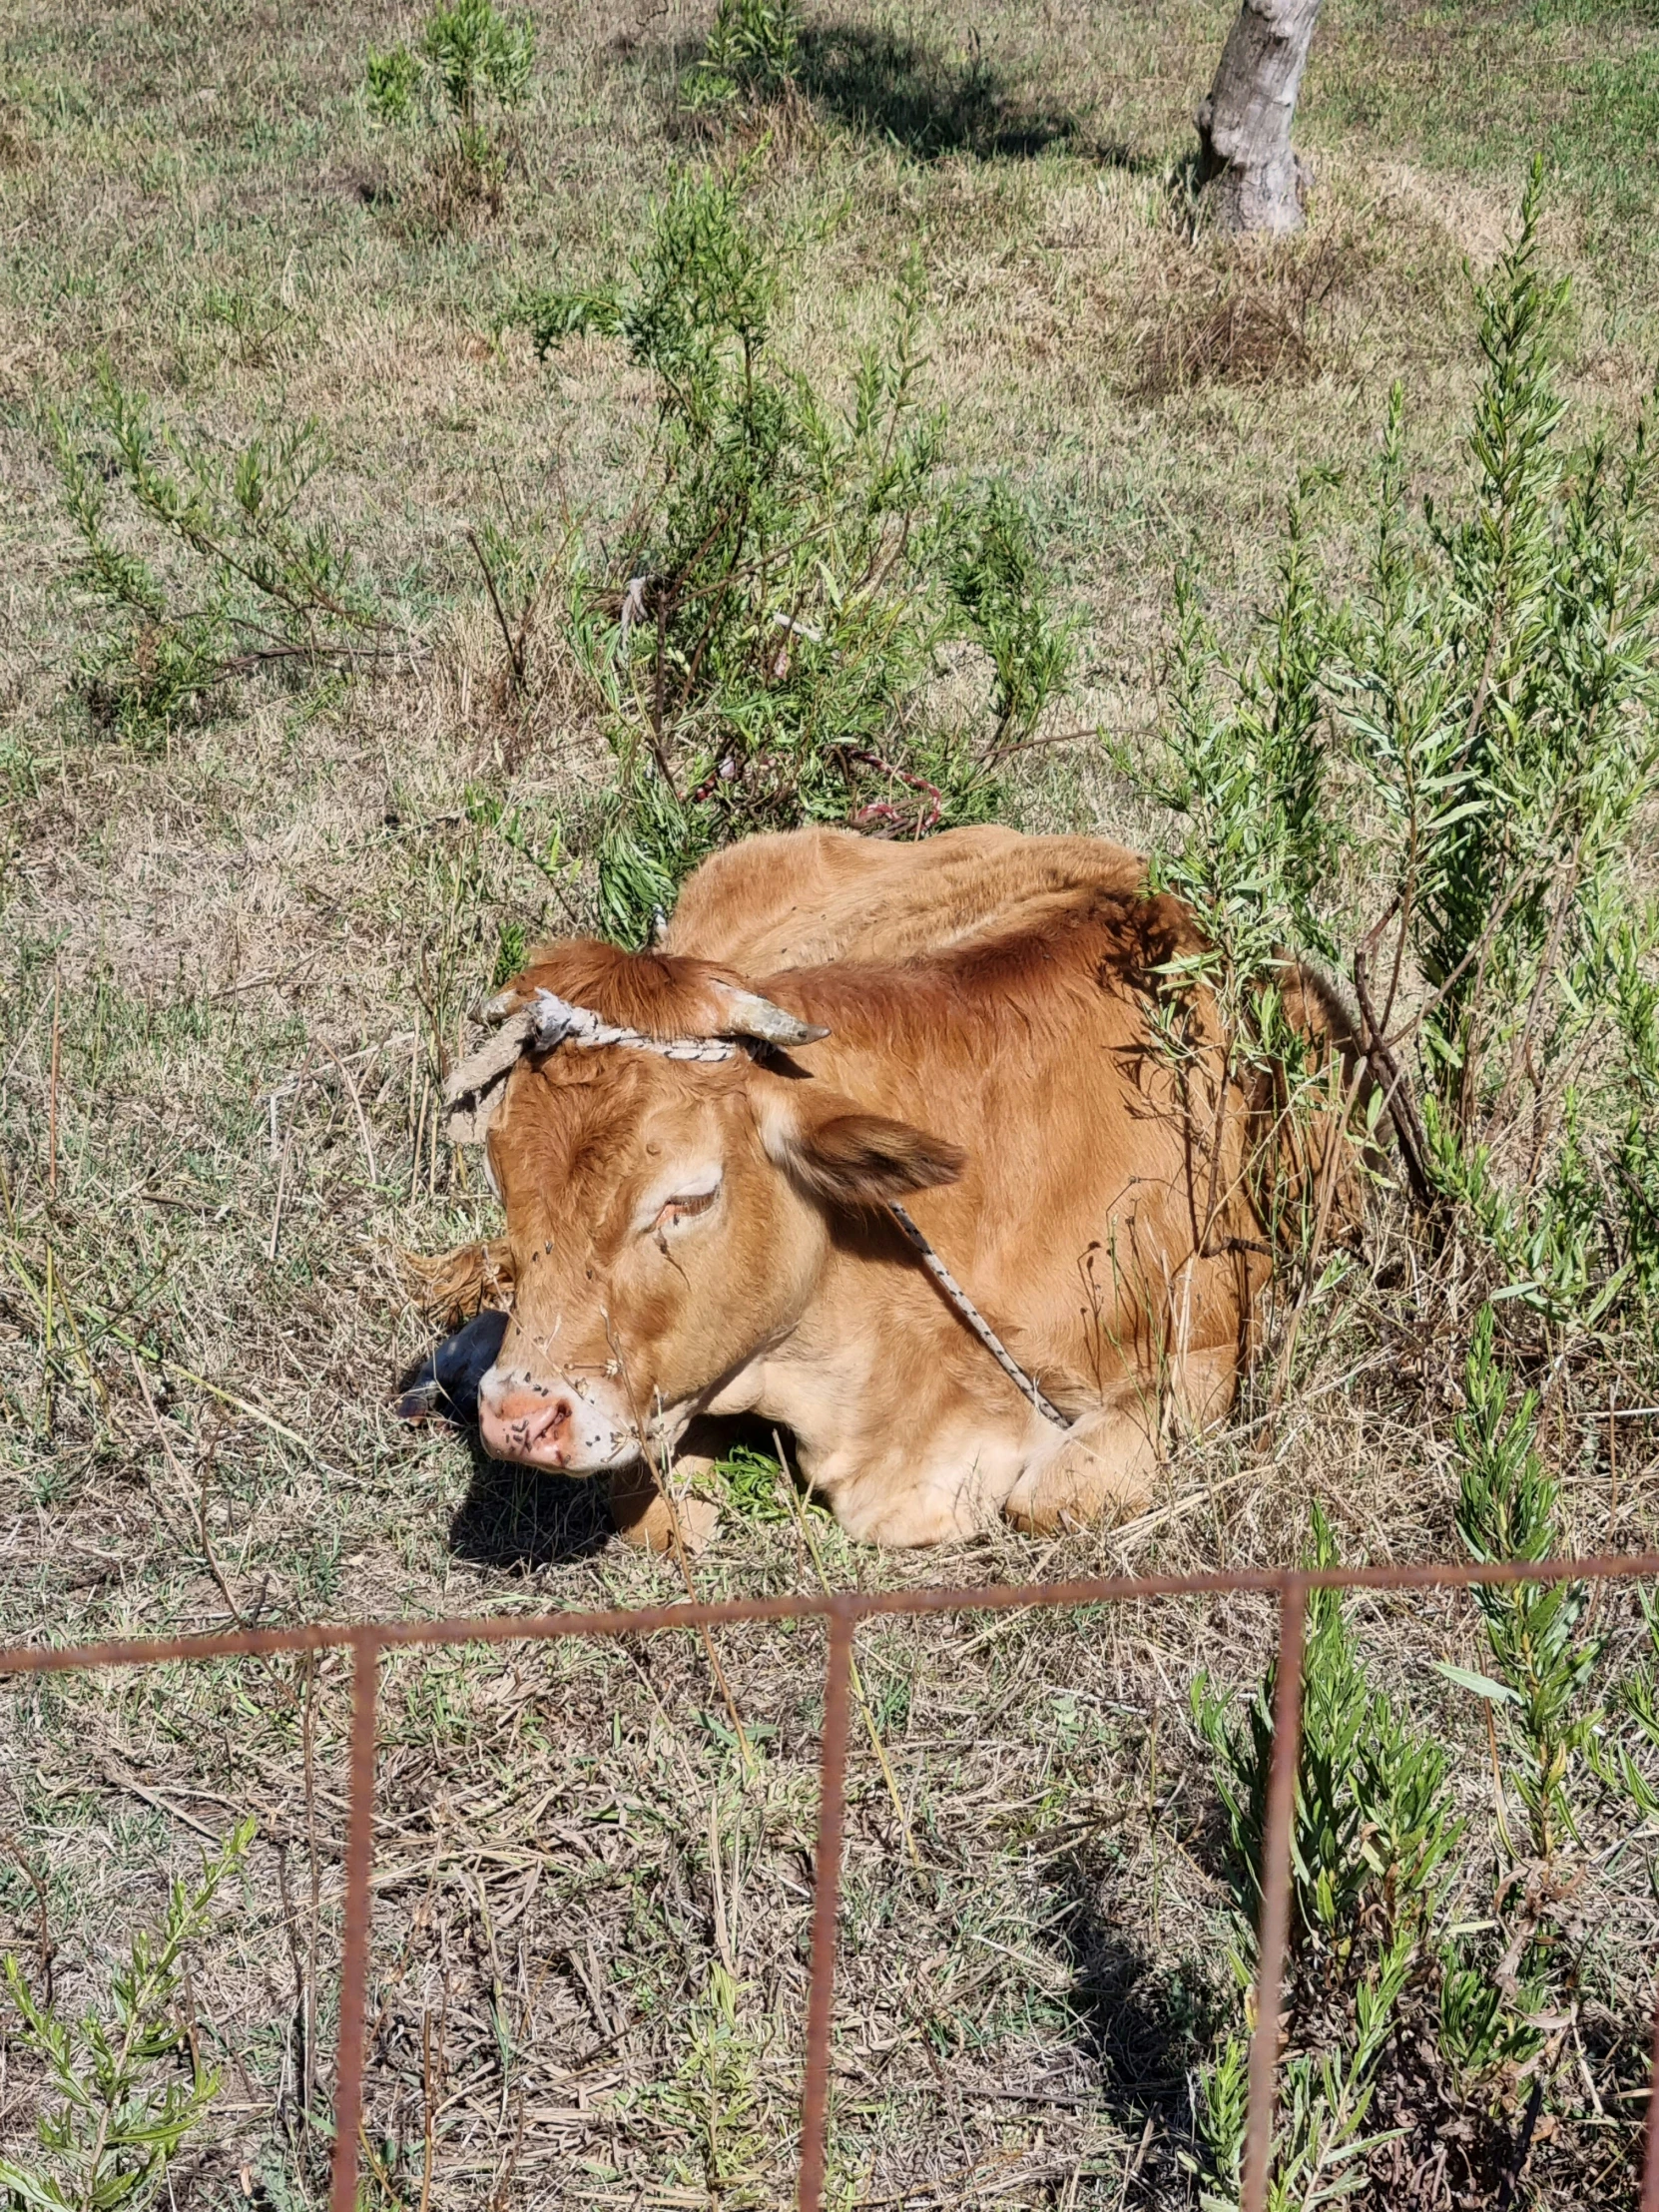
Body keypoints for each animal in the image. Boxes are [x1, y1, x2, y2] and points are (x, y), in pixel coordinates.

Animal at [406, 831, 1363, 1557]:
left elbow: (1055, 1496)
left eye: (691, 1197)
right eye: (505, 1178)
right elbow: (660, 1517)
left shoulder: (1209, 1343)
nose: (519, 1418)